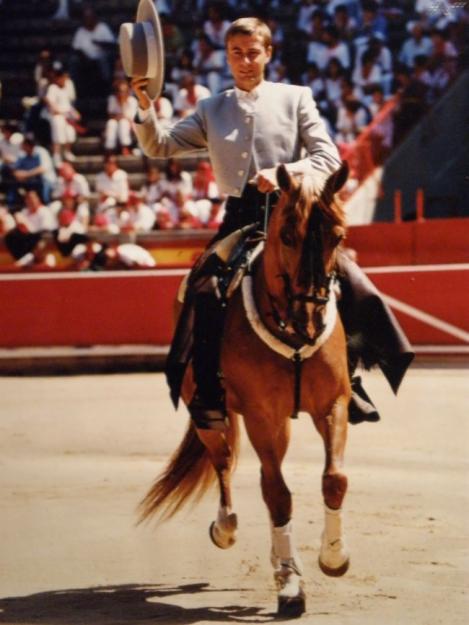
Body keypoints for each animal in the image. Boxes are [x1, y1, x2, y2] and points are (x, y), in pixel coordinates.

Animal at [140, 163, 352, 616]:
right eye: (286, 235)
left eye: (339, 236)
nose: (310, 318)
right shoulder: (260, 417)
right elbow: (278, 493)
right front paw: (291, 586)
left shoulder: (334, 404)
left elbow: (334, 479)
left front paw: (333, 558)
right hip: (208, 413)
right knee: (225, 463)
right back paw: (226, 528)